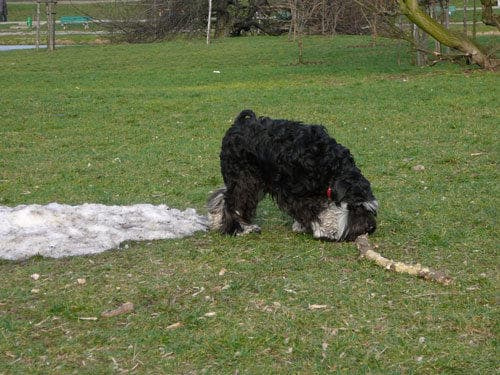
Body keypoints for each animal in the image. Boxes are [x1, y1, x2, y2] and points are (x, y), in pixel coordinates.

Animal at [205, 110, 376, 242]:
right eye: (355, 207)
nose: (370, 228)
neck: (330, 165)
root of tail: (239, 123)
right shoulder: (298, 192)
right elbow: (315, 211)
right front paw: (324, 230)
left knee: (223, 196)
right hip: (244, 180)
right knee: (234, 201)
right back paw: (241, 228)